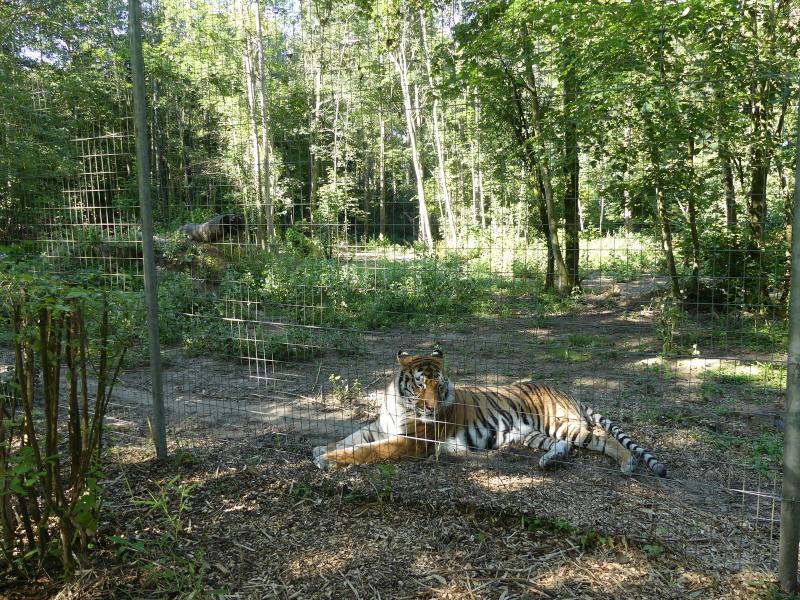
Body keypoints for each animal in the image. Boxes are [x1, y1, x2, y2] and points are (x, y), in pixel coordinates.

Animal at [312, 349, 667, 477]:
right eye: (420, 384)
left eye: (439, 386)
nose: (432, 407)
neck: (401, 404)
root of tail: (567, 391)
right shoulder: (380, 426)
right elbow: (352, 437)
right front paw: (322, 448)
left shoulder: (410, 441)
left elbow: (366, 451)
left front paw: (327, 459)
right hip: (531, 433)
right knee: (569, 446)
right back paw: (549, 460)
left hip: (563, 424)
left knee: (605, 440)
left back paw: (627, 464)